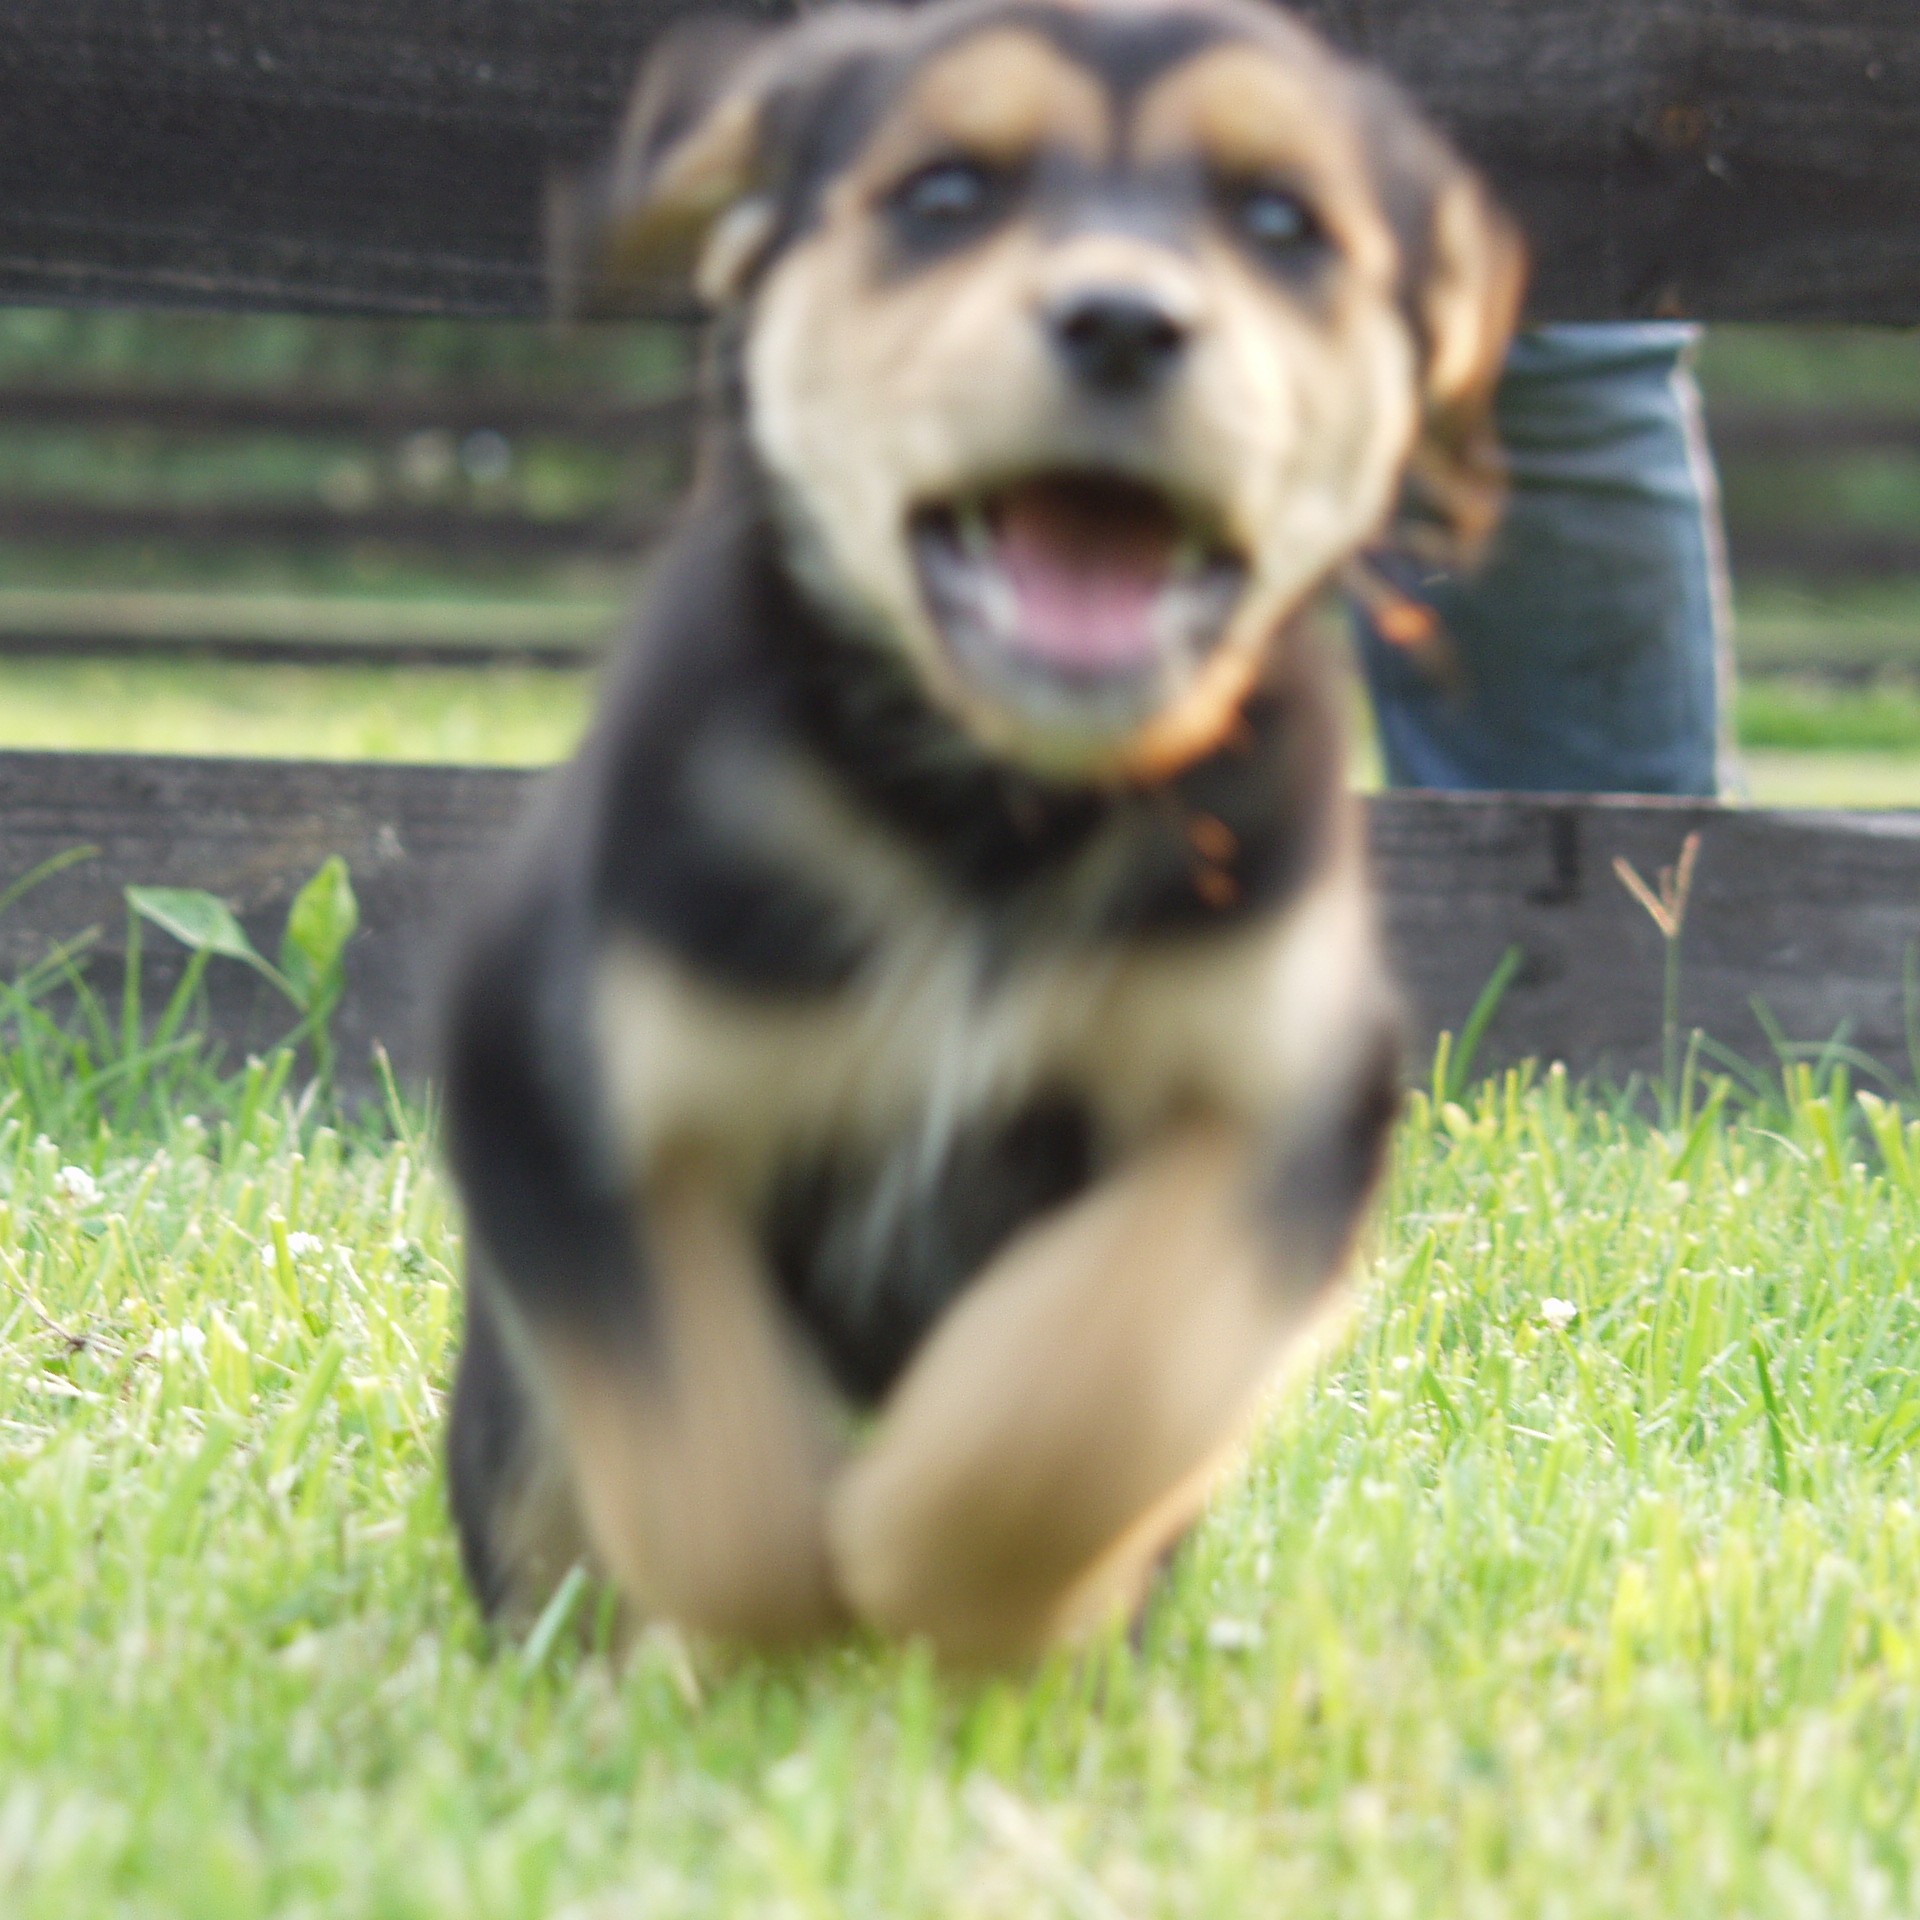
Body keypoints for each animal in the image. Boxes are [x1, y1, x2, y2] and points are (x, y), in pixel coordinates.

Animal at [441, 0, 1520, 1666]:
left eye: (1280, 221)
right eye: (944, 193)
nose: (1123, 323)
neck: (995, 815)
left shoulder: (1287, 1094)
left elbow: (1091, 1398)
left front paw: (939, 1574)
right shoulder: (546, 1063)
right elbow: (702, 1460)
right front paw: (781, 1612)